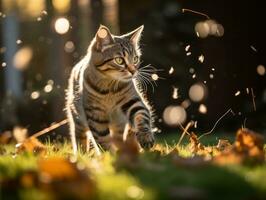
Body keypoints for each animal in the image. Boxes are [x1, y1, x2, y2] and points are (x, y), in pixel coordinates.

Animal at [65, 24, 155, 154]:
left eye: (135, 59)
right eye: (119, 60)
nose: (133, 71)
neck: (109, 89)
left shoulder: (133, 100)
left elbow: (141, 116)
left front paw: (145, 137)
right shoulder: (95, 113)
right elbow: (102, 138)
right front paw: (109, 155)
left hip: (119, 123)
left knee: (120, 136)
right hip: (77, 117)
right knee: (79, 137)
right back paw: (82, 153)